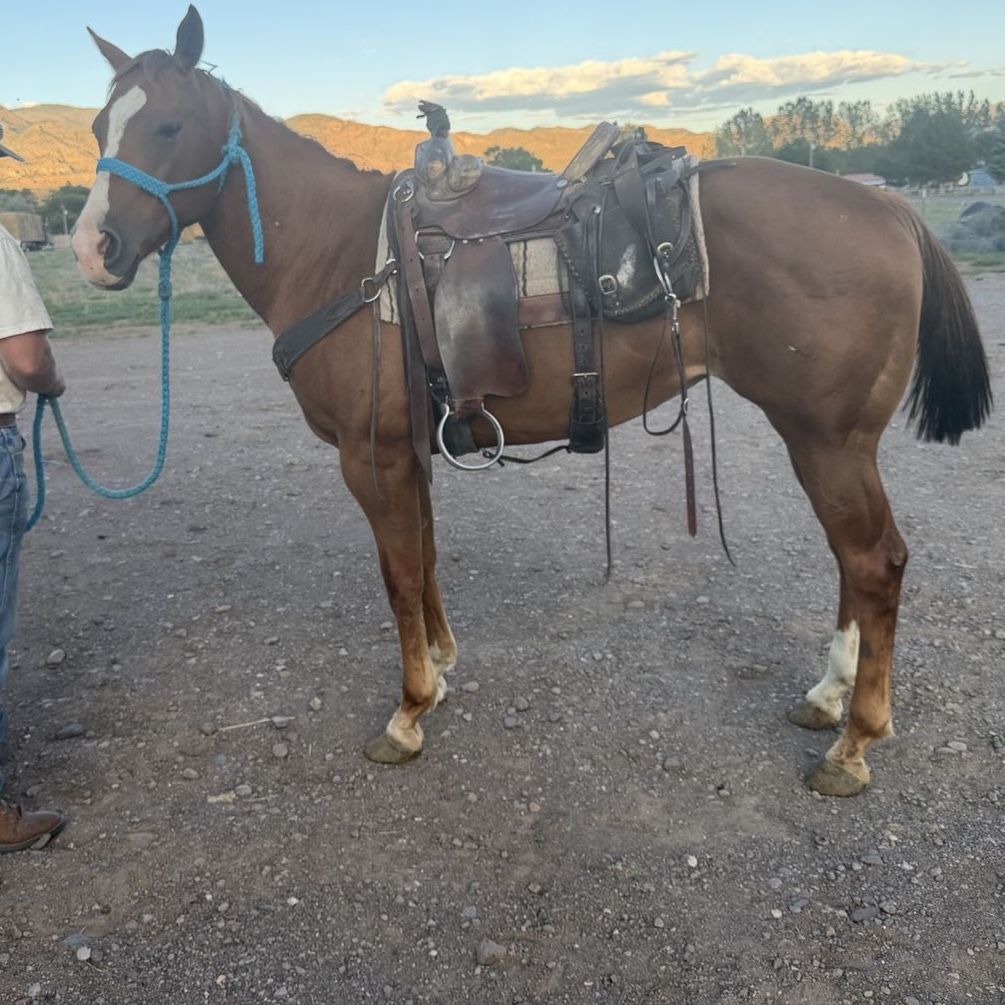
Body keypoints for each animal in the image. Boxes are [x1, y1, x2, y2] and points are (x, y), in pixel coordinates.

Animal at [71, 7, 992, 797]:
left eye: (168, 126)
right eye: (97, 129)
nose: (92, 248)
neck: (342, 254)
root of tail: (887, 204)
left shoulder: (368, 457)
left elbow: (397, 574)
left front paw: (407, 711)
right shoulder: (408, 450)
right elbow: (424, 559)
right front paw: (440, 669)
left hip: (826, 439)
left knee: (874, 561)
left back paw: (853, 741)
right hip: (831, 442)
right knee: (853, 561)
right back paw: (828, 695)